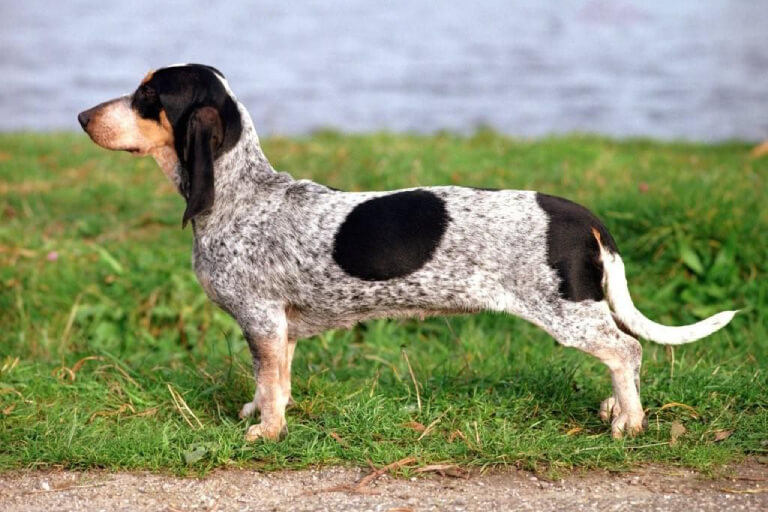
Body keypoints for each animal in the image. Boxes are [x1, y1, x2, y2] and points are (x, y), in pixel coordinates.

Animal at [79, 64, 736, 440]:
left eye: (147, 94)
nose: (82, 115)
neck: (244, 194)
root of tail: (586, 217)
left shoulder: (262, 321)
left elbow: (270, 385)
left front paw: (265, 434)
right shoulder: (280, 329)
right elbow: (276, 383)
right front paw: (262, 415)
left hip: (568, 314)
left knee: (626, 351)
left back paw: (630, 424)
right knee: (623, 356)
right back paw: (614, 411)